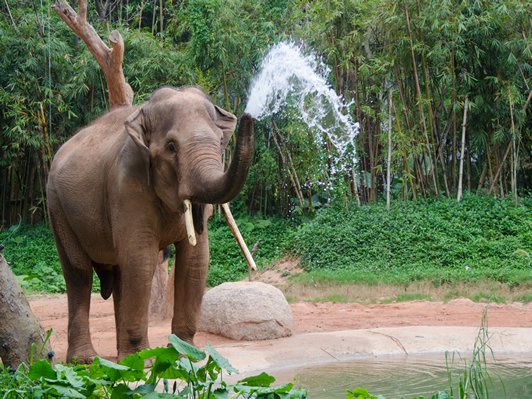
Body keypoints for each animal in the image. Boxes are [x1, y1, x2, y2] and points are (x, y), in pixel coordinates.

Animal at [46, 87, 255, 366]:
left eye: (220, 142)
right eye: (171, 147)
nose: (249, 115)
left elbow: (195, 261)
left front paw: (185, 356)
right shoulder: (126, 185)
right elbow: (140, 260)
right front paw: (141, 361)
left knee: (119, 275)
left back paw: (118, 357)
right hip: (57, 208)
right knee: (79, 273)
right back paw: (87, 360)